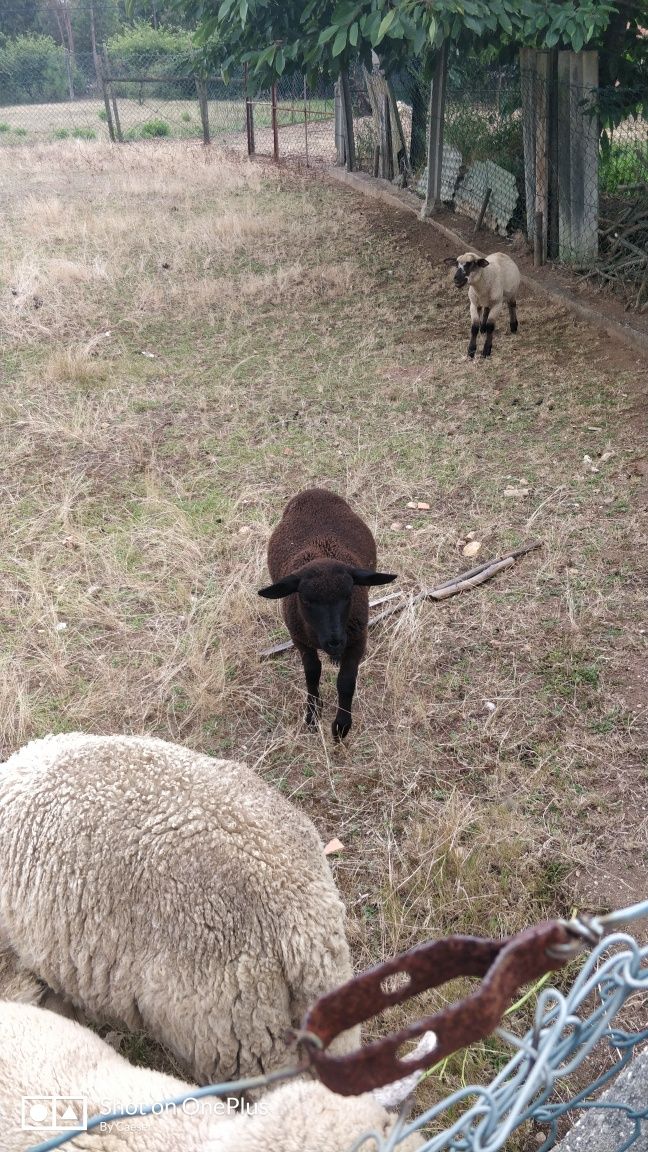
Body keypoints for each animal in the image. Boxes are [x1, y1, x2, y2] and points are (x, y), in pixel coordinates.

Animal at [257, 488, 394, 741]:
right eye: (306, 600)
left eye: (349, 595)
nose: (334, 641)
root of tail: (315, 490)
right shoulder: (299, 639)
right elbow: (312, 673)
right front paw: (312, 714)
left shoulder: (358, 638)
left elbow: (346, 682)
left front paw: (341, 726)